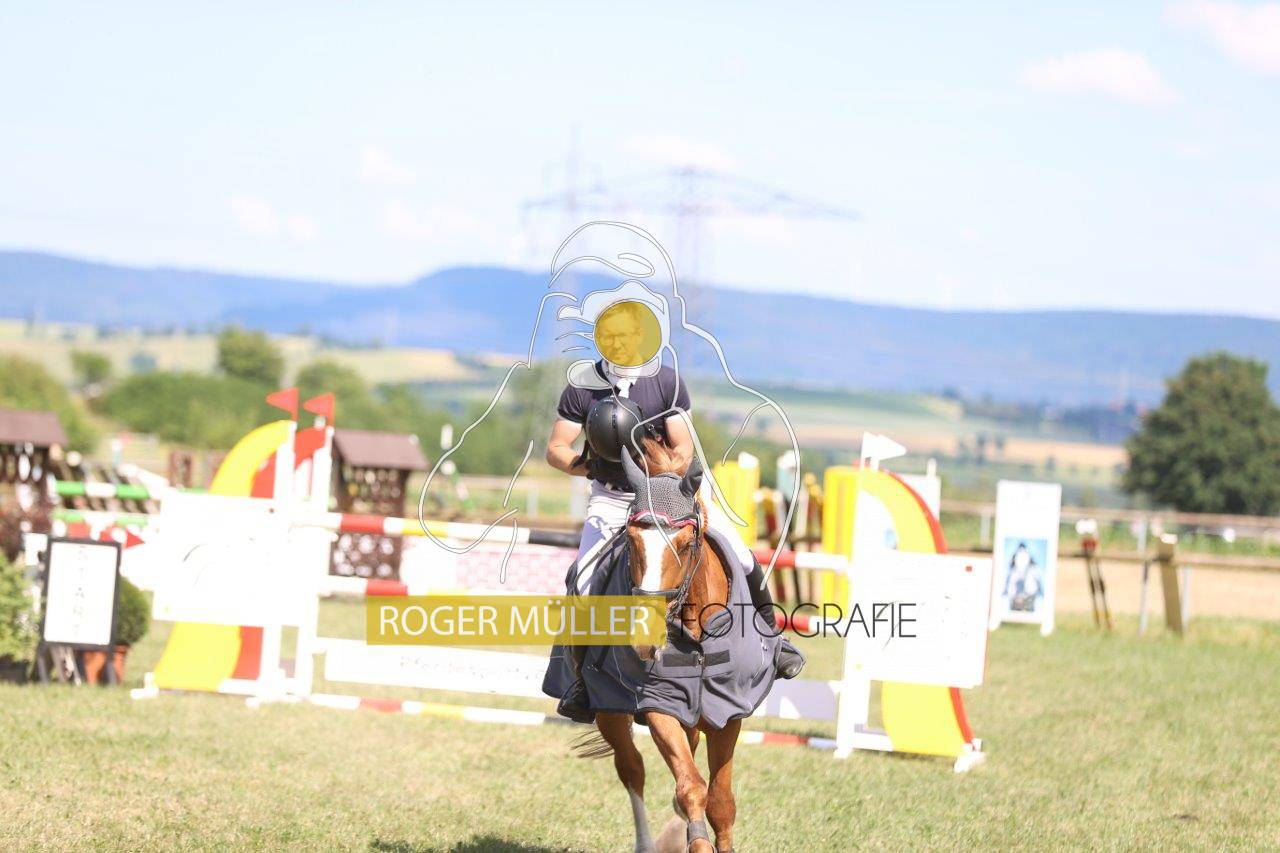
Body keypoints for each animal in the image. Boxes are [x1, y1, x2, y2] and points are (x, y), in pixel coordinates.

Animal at [580, 439, 743, 853]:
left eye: (685, 546)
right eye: (631, 541)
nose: (643, 638)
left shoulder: (729, 712)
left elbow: (720, 803)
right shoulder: (660, 705)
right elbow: (691, 789)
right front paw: (695, 840)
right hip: (609, 714)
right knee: (632, 769)